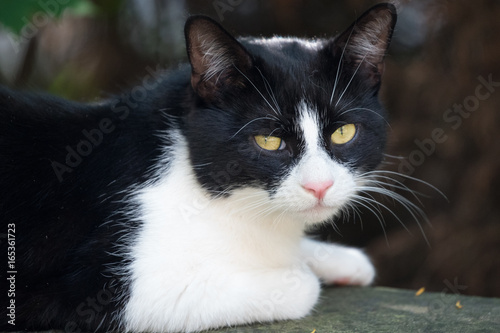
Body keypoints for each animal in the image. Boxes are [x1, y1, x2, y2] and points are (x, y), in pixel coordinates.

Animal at [1, 3, 396, 332]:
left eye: (343, 133)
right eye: (268, 141)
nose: (319, 186)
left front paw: (339, 260)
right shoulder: (92, 292)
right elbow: (301, 285)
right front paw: (299, 268)